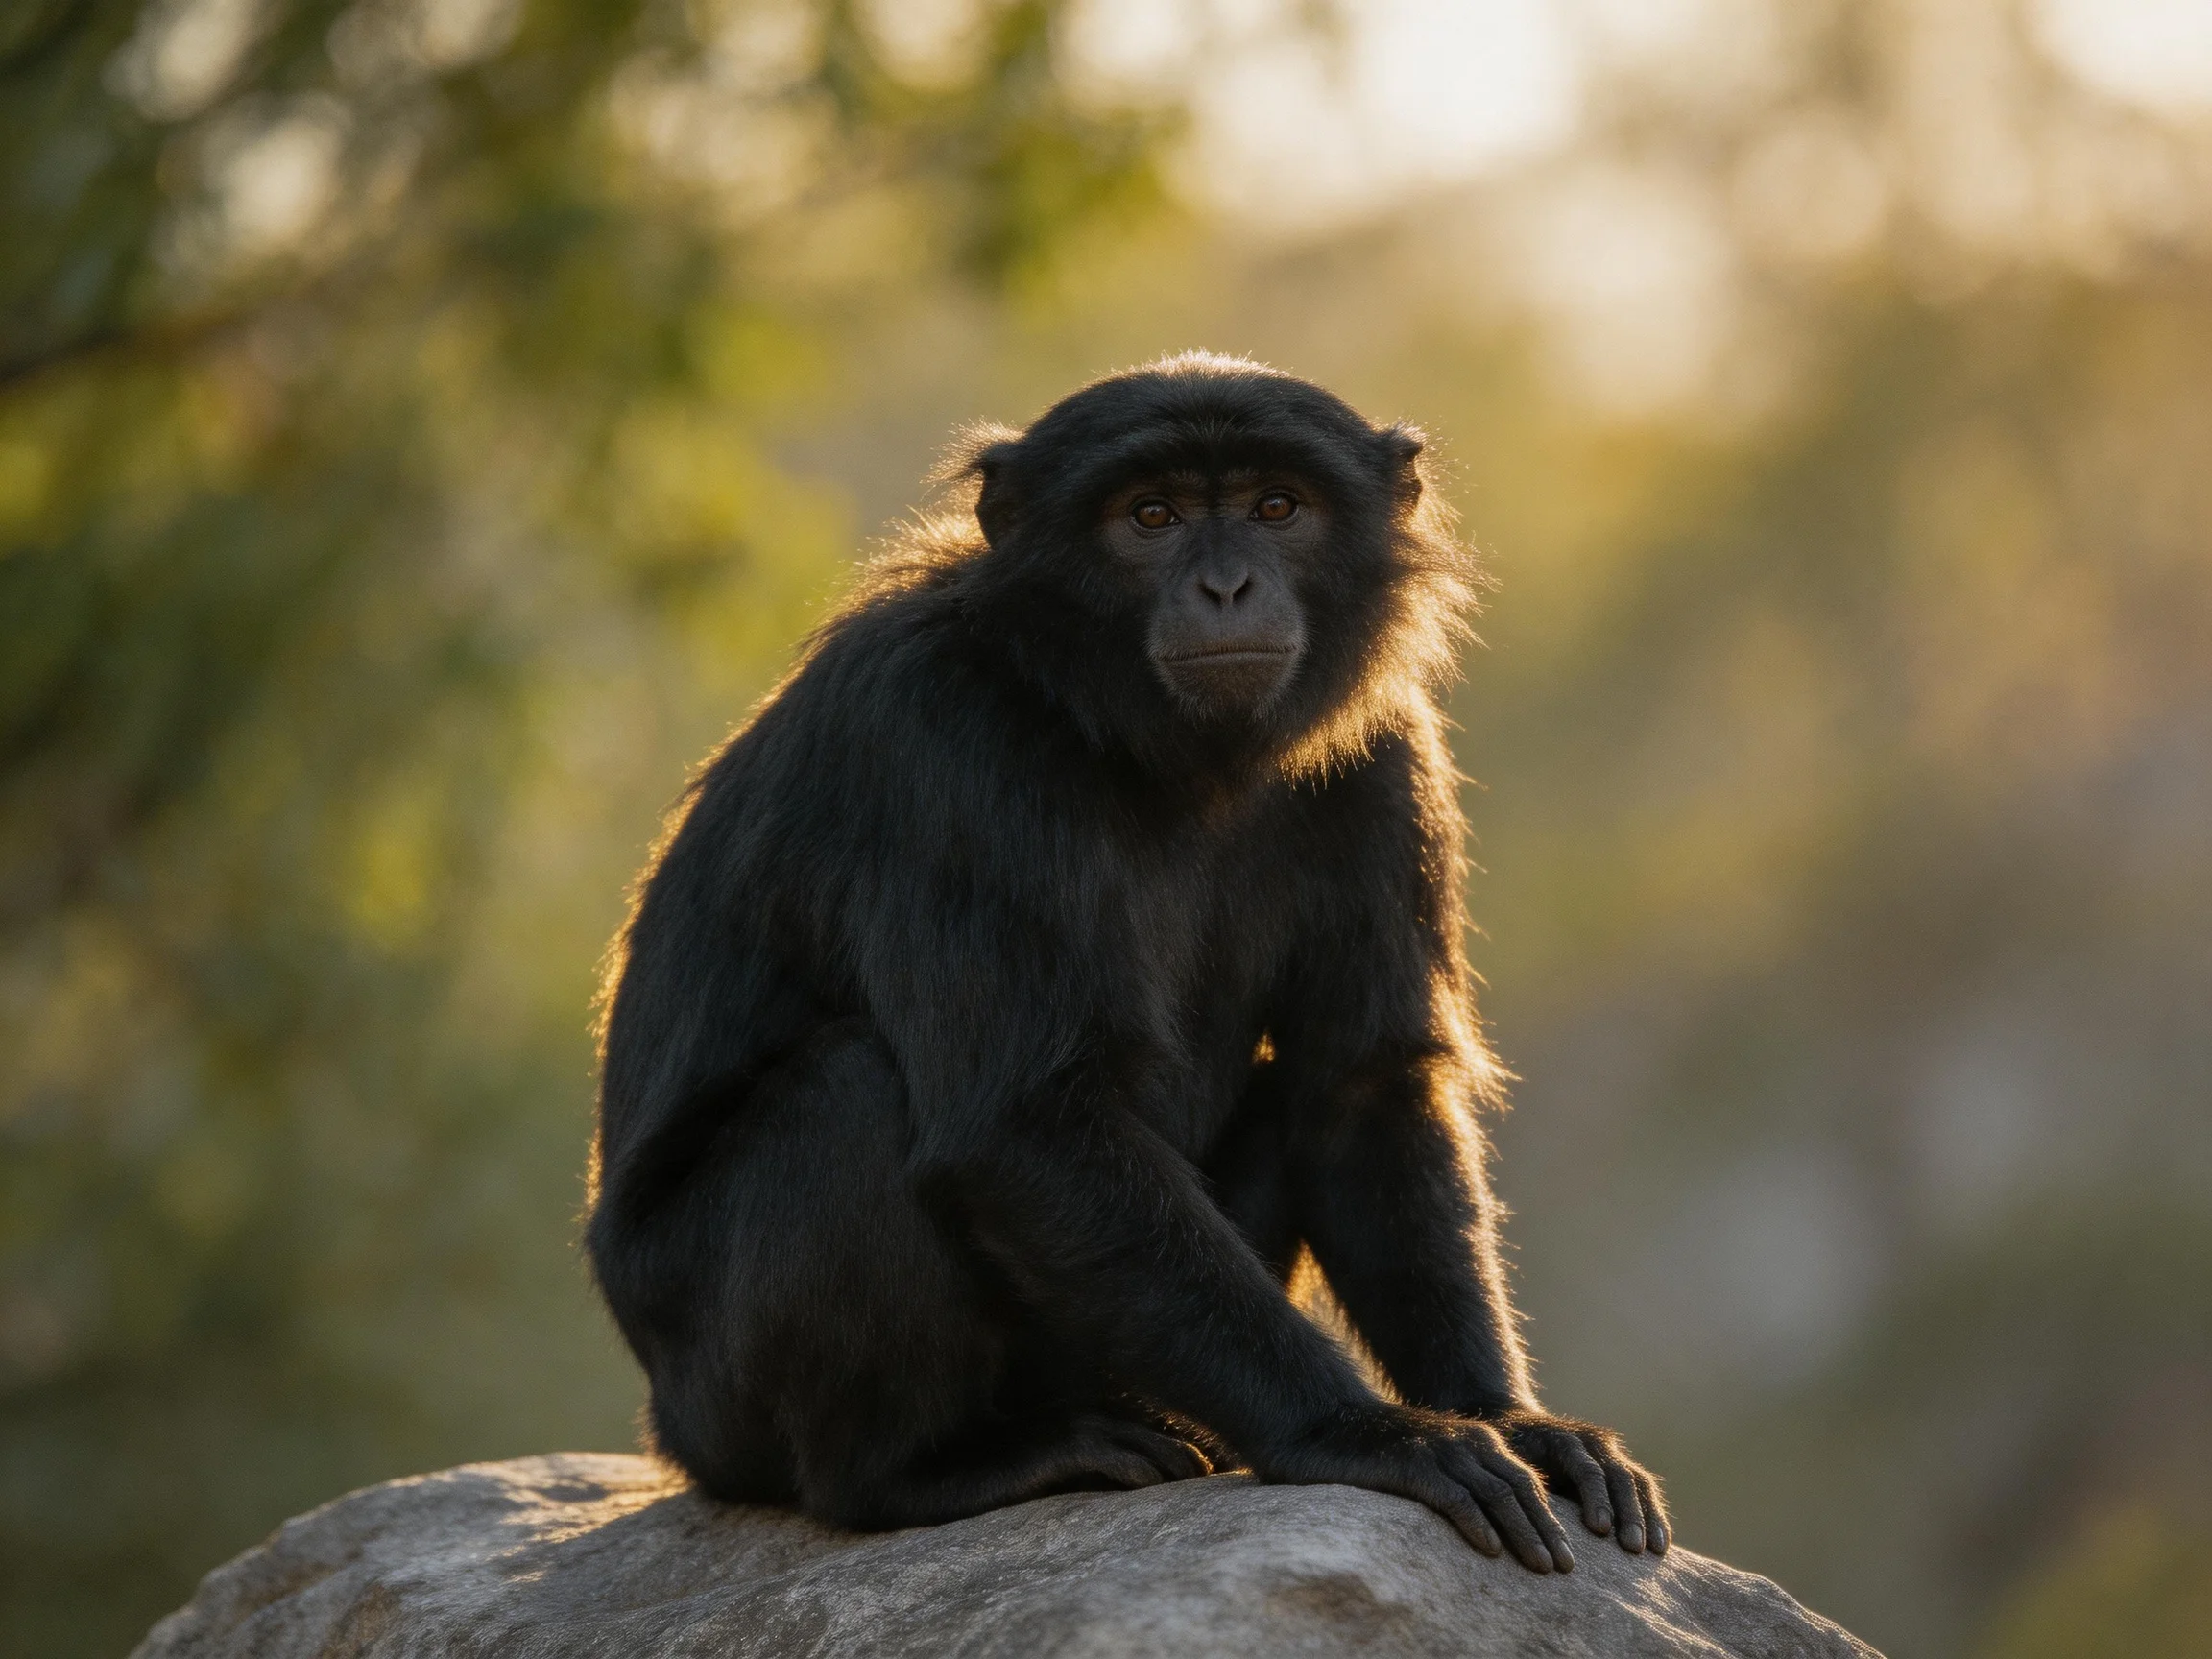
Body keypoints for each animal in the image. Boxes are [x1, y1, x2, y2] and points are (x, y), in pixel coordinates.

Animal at [586, 352, 1667, 1572]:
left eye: (1276, 508)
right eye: (1151, 518)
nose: (1228, 586)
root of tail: (667, 1428)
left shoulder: (1386, 751)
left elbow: (1360, 1090)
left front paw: (1511, 1421)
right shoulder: (942, 736)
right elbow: (1028, 1122)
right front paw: (1363, 1432)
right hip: (724, 1407)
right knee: (846, 1095)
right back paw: (918, 1475)